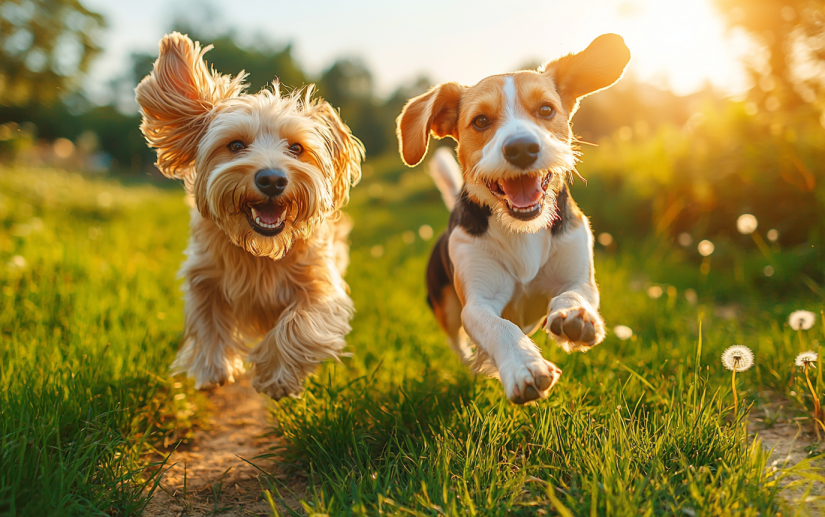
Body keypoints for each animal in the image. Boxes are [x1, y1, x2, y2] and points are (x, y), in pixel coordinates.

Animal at [137, 33, 362, 400]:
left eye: (296, 148)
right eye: (235, 145)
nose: (272, 179)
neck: (259, 253)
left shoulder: (320, 283)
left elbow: (299, 324)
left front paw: (277, 377)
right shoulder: (203, 275)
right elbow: (207, 321)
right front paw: (213, 370)